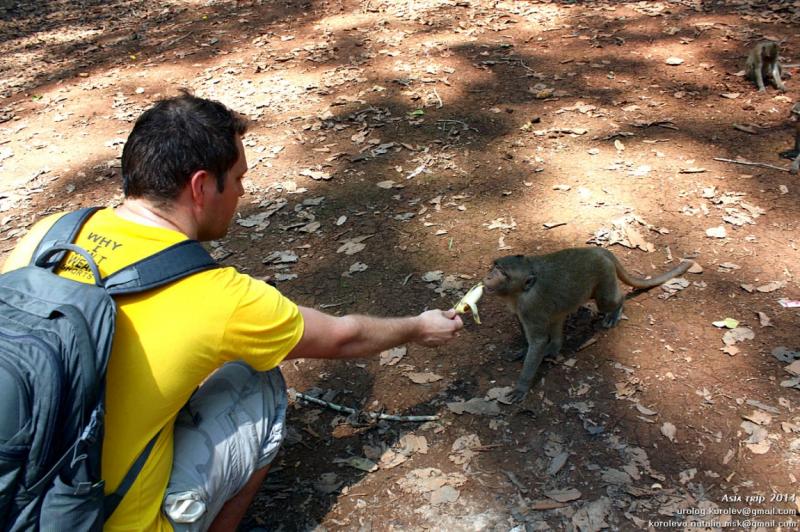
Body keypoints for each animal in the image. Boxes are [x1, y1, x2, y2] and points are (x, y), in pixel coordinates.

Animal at [482, 249, 692, 404]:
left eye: (504, 274)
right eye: (495, 266)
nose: (489, 277)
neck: (520, 292)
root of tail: (597, 250)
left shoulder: (530, 307)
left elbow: (539, 340)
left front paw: (522, 386)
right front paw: (524, 350)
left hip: (604, 275)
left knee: (607, 301)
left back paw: (616, 308)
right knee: (558, 315)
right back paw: (554, 348)